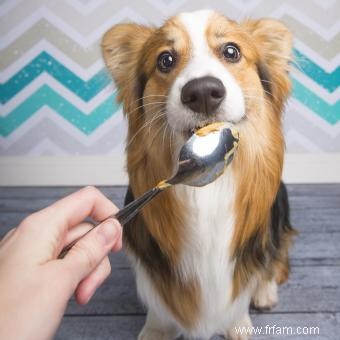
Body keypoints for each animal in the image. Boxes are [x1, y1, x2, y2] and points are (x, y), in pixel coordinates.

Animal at [102, 9, 296, 340]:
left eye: (231, 51)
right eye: (165, 59)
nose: (203, 92)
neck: (206, 190)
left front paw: (238, 324)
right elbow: (158, 303)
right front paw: (155, 330)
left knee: (274, 255)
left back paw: (265, 291)